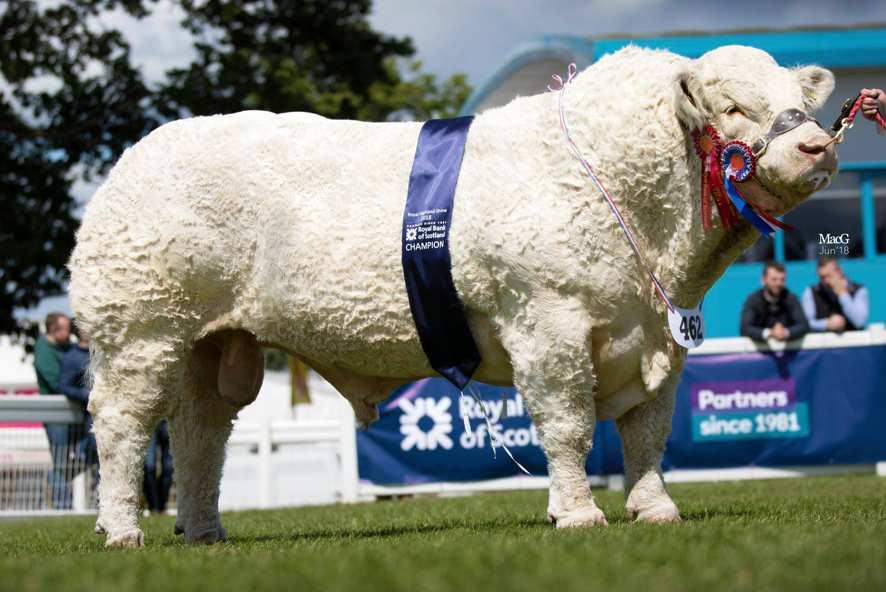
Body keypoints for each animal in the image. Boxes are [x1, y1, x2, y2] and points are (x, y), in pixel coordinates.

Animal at [66, 44, 836, 548]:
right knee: (124, 428)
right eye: (732, 106)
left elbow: (647, 433)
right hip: (142, 333)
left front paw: (654, 510)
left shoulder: (658, 340)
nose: (818, 147)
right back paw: (122, 530)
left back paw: (204, 532)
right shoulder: (549, 326)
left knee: (201, 435)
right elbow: (568, 428)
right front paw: (577, 514)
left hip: (213, 345)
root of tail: (134, 157)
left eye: (800, 101)